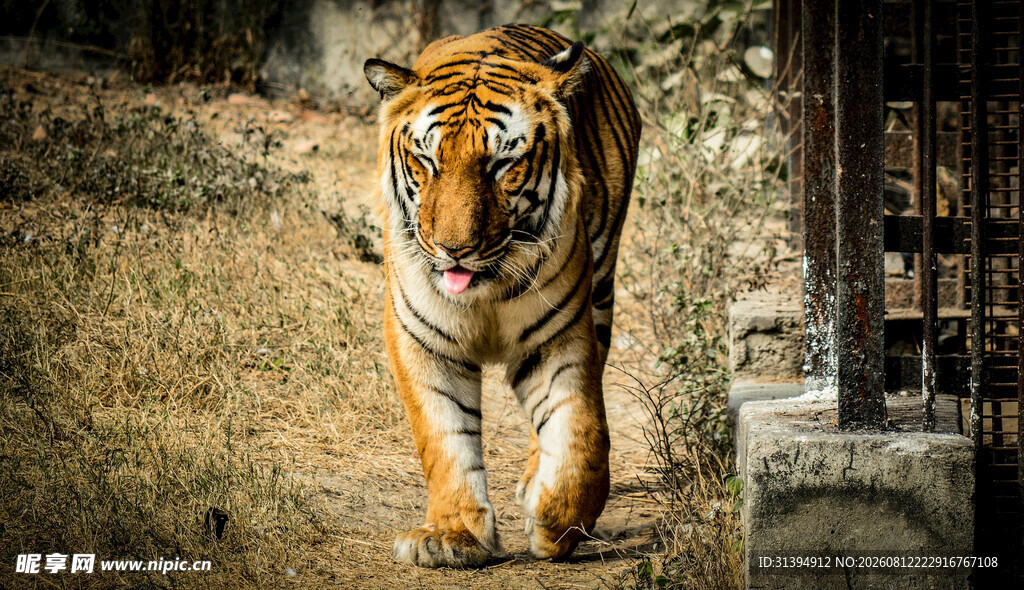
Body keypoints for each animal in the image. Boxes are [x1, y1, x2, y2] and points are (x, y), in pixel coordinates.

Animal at [363, 23, 641, 567]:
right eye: (427, 160)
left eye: (501, 164)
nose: (454, 249)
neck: (483, 294)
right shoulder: (422, 340)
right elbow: (445, 438)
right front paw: (452, 536)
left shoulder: (558, 337)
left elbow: (580, 431)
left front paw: (558, 522)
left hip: (600, 288)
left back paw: (535, 483)